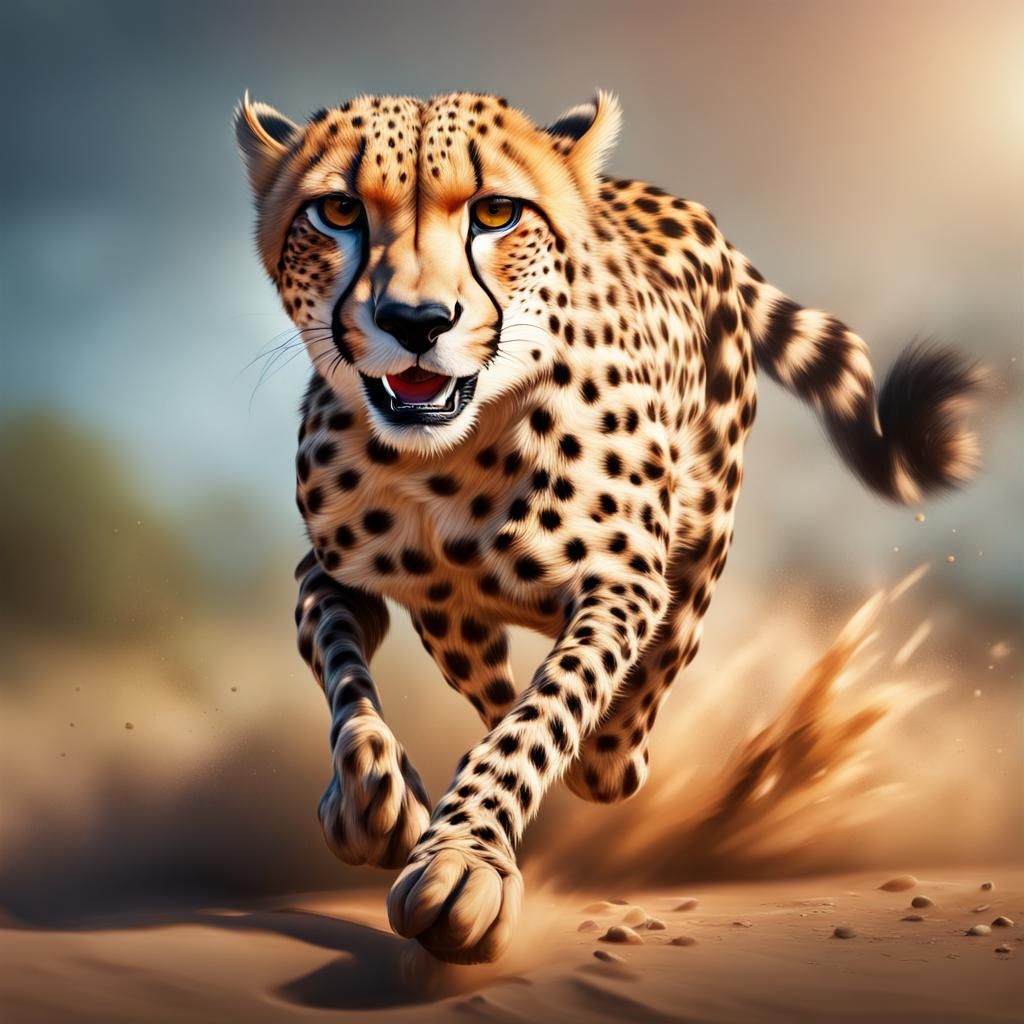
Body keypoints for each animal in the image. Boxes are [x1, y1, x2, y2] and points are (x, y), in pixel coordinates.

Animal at [234, 90, 981, 964]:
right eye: (340, 211)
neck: (452, 459)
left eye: (496, 212)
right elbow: (351, 682)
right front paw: (370, 801)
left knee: (643, 672)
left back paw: (610, 758)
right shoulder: (338, 577)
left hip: (703, 529)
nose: (415, 321)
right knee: (489, 677)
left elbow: (544, 713)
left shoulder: (620, 585)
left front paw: (464, 859)